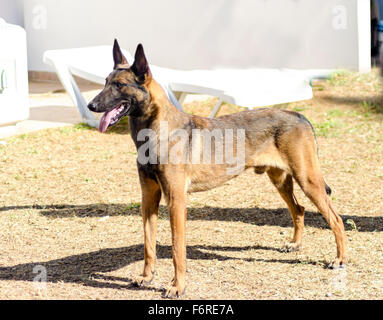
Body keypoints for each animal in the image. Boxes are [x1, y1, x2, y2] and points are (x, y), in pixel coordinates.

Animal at [88, 39, 348, 298]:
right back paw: (295, 245)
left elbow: (177, 250)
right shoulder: (149, 199)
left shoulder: (176, 202)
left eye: (120, 85)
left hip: (308, 181)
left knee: (336, 219)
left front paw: (177, 286)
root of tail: (298, 114)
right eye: (105, 82)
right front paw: (146, 277)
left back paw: (340, 259)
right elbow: (148, 244)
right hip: (281, 180)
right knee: (299, 210)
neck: (156, 131)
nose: (91, 105)